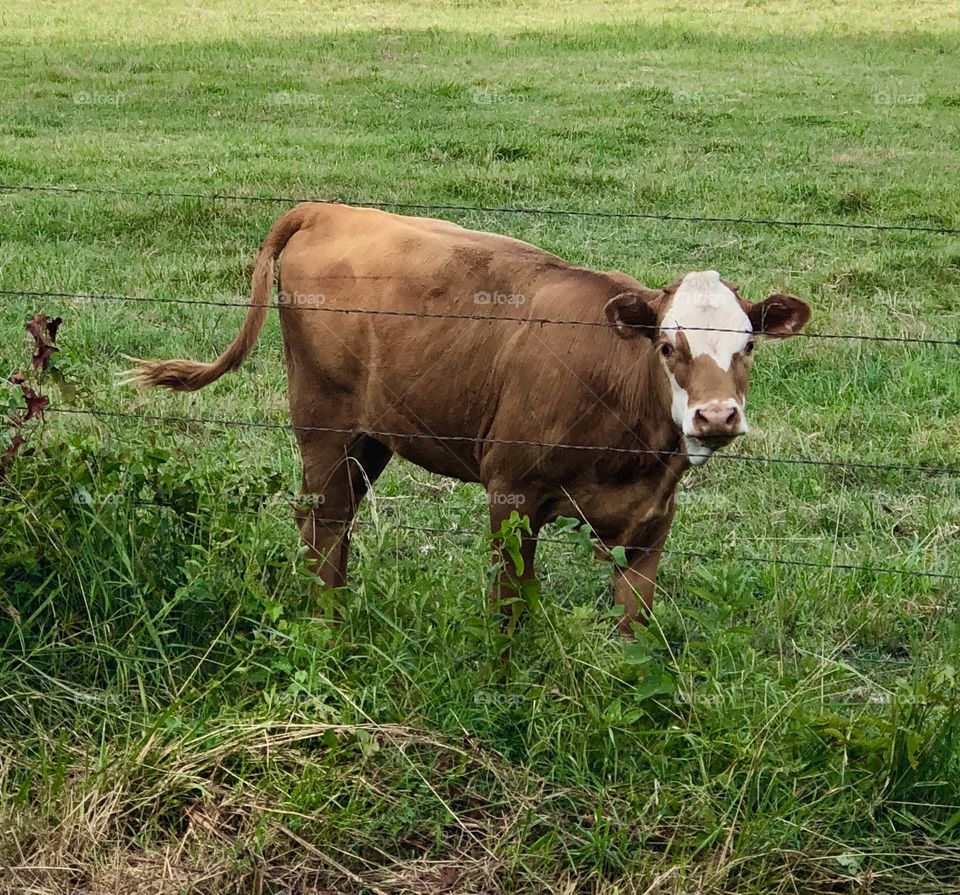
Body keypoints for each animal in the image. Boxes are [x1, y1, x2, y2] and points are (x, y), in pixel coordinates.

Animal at [130, 203, 810, 635]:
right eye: (668, 346)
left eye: (749, 344)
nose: (716, 415)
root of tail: (326, 208)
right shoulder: (510, 490)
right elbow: (510, 607)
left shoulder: (653, 519)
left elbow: (633, 627)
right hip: (323, 423)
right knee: (323, 522)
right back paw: (327, 623)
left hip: (370, 437)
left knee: (333, 520)